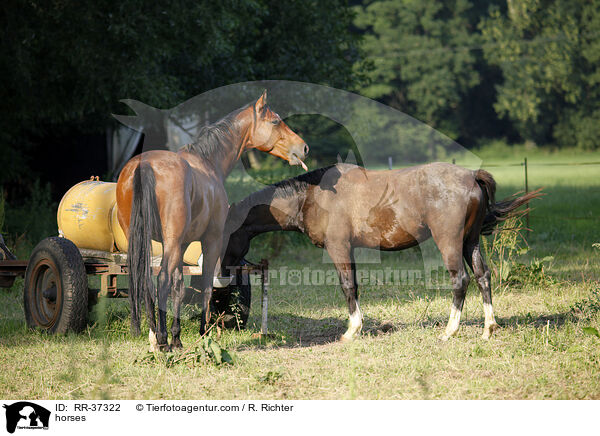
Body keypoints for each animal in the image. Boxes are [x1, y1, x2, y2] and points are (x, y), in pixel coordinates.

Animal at [116, 91, 308, 350]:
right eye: (275, 121)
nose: (304, 148)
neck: (208, 162)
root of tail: (145, 165)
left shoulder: (182, 244)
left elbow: (178, 286)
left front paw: (177, 337)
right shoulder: (212, 241)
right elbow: (206, 285)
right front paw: (202, 333)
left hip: (141, 242)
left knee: (146, 282)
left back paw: (155, 336)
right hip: (171, 242)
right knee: (161, 280)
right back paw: (162, 339)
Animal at [223, 162, 540, 342]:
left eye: (224, 235)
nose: (223, 273)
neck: (312, 196)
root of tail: (472, 176)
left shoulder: (338, 247)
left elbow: (347, 287)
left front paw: (352, 331)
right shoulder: (348, 249)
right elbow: (355, 286)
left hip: (450, 242)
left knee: (460, 280)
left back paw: (450, 331)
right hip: (469, 241)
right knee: (483, 277)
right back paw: (488, 328)